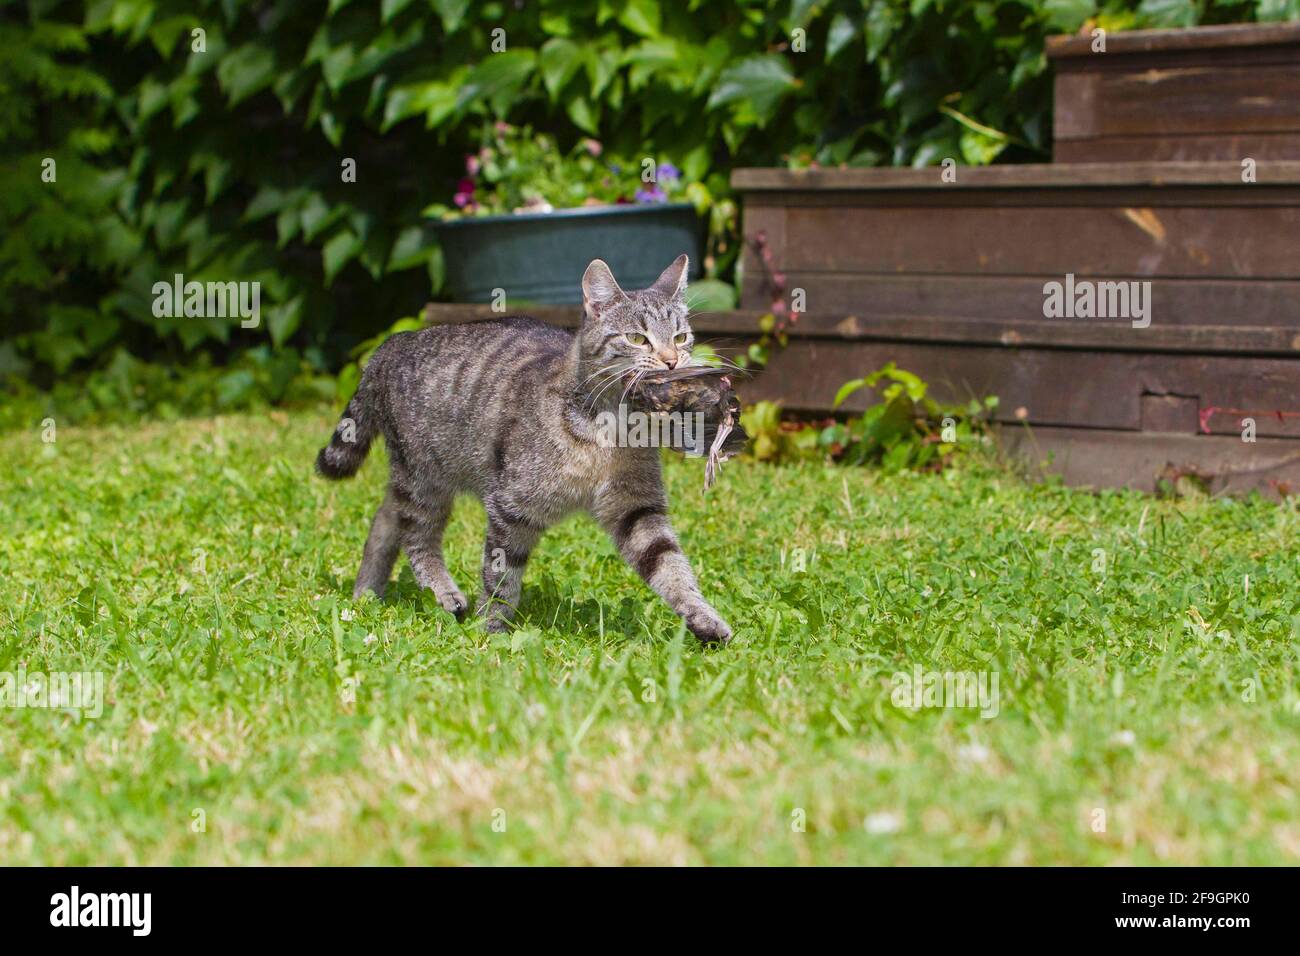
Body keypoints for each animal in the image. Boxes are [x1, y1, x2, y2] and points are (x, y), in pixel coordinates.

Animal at [314, 254, 733, 642]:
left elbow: (669, 565)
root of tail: (390, 343)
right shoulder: (509, 507)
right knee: (417, 537)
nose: (672, 360)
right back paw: (444, 593)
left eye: (680, 337)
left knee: (386, 520)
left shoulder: (637, 508)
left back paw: (365, 595)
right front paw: (492, 629)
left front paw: (704, 619)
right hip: (424, 480)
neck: (613, 429)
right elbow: (501, 575)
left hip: (415, 479)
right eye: (637, 338)